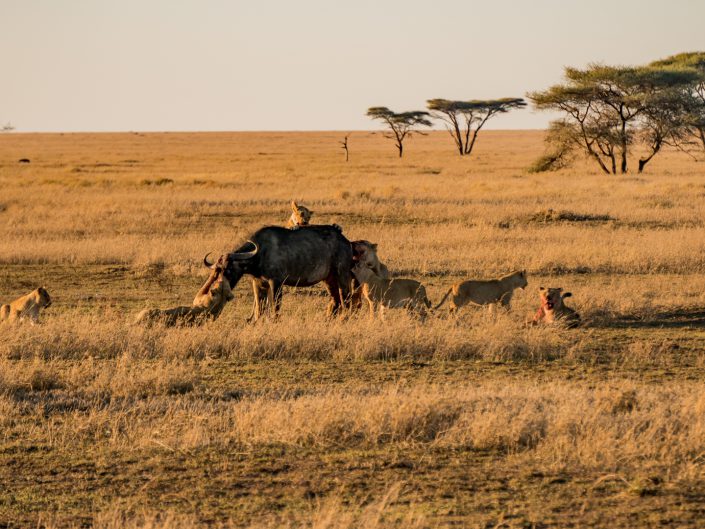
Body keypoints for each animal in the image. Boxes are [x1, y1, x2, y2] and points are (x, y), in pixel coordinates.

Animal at [206, 224, 354, 318]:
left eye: (229, 269)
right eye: (217, 271)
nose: (220, 286)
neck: (261, 253)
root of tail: (346, 242)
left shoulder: (276, 283)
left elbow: (275, 306)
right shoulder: (258, 283)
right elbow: (259, 308)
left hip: (342, 275)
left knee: (345, 298)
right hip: (329, 279)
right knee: (336, 300)